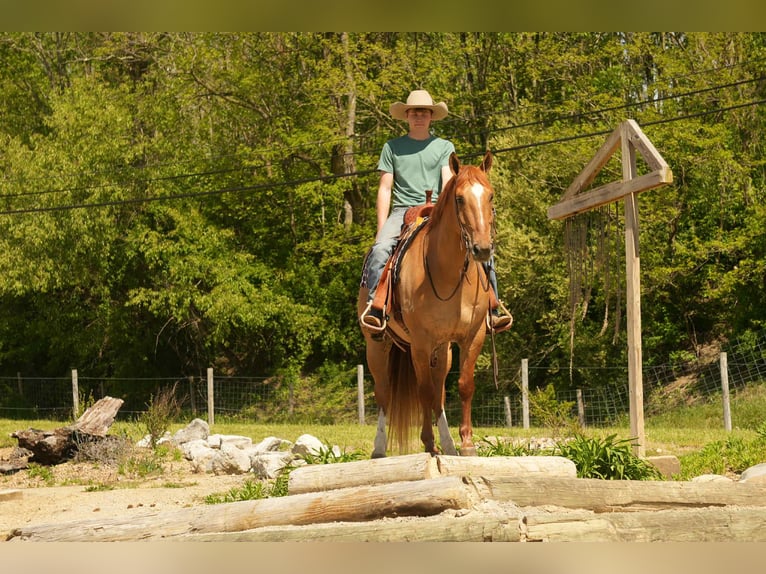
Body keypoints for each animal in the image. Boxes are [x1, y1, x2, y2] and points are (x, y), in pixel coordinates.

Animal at [358, 151, 496, 458]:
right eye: (459, 198)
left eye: (490, 196)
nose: (482, 249)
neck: (449, 274)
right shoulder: (420, 341)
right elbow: (422, 391)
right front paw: (429, 444)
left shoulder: (473, 336)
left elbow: (463, 386)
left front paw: (466, 444)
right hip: (377, 345)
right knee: (384, 393)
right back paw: (379, 449)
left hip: (441, 351)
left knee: (438, 394)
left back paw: (448, 444)